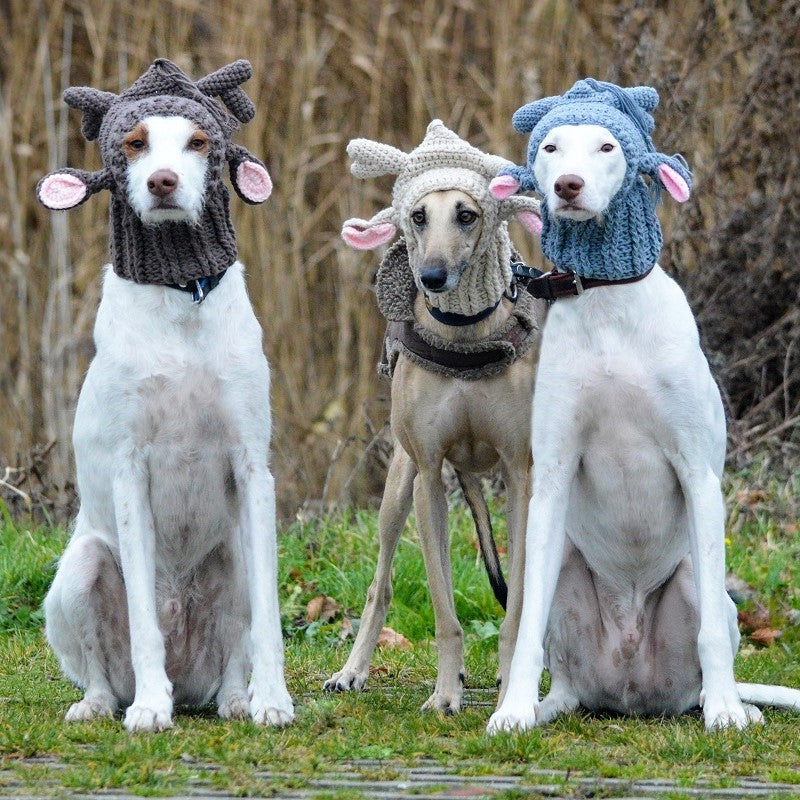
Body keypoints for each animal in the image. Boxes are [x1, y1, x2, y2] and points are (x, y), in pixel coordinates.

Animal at [38, 59, 294, 732]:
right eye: (134, 143)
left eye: (199, 142)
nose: (162, 181)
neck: (183, 296)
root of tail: (190, 682)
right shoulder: (129, 471)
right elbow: (143, 621)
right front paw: (150, 709)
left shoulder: (253, 470)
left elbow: (267, 622)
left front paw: (275, 701)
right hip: (81, 569)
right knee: (103, 669)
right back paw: (112, 702)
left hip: (233, 558)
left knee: (233, 653)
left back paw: (236, 699)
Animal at [323, 122, 545, 713]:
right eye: (418, 216)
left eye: (467, 214)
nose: (432, 276)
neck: (464, 335)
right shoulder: (428, 475)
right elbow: (444, 611)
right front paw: (446, 693)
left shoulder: (520, 476)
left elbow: (516, 607)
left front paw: (511, 686)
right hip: (401, 488)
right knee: (381, 583)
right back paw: (352, 671)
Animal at [486, 80, 800, 732]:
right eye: (550, 147)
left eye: (608, 146)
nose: (568, 185)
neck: (608, 305)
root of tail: (634, 692)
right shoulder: (550, 478)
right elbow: (524, 628)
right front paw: (512, 710)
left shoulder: (699, 474)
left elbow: (711, 637)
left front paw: (727, 713)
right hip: (564, 569)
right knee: (566, 673)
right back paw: (546, 705)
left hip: (698, 584)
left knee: (705, 649)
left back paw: (727, 704)